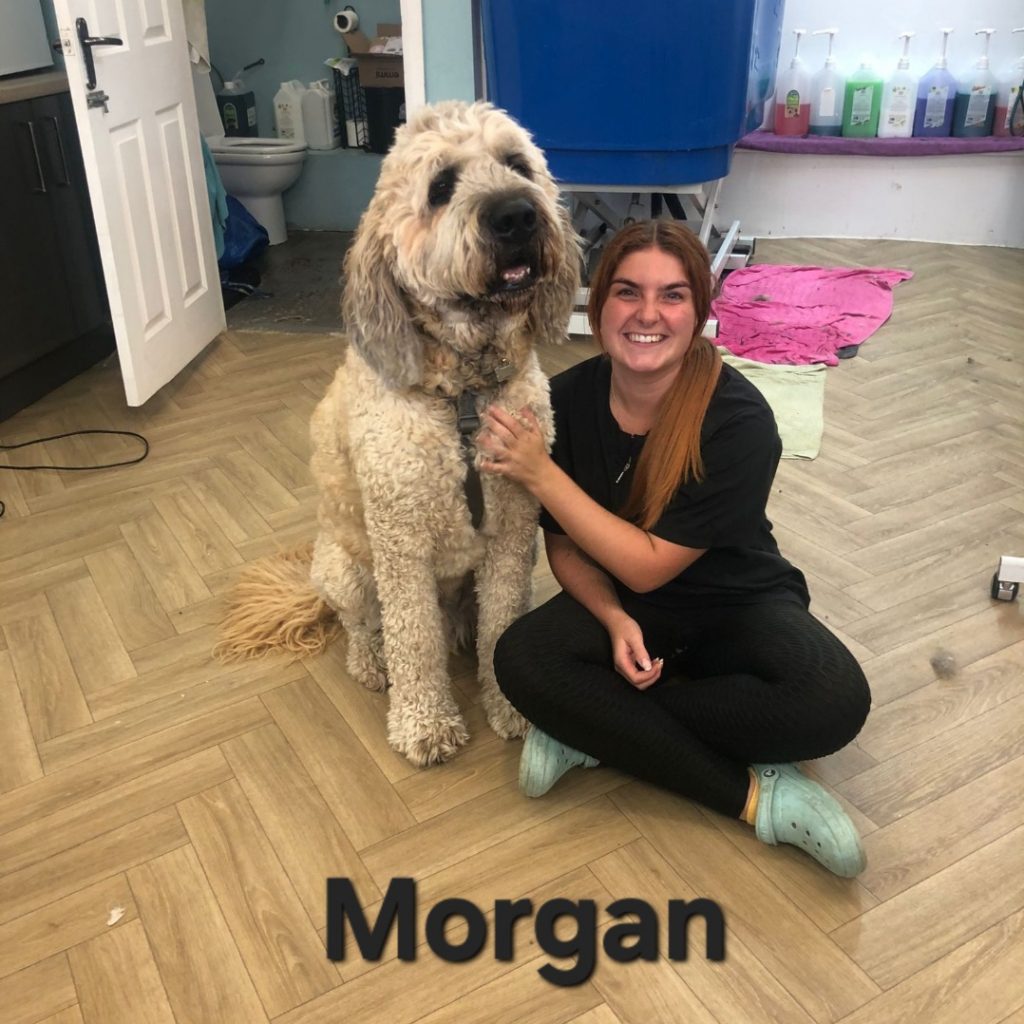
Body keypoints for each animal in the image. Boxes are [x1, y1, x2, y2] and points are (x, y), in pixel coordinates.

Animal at [216, 101, 580, 766]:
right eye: (440, 187)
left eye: (517, 164)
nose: (516, 214)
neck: (462, 394)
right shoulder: (402, 544)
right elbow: (414, 640)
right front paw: (424, 723)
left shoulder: (513, 531)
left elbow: (503, 620)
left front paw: (508, 706)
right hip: (347, 570)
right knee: (365, 625)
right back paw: (373, 661)